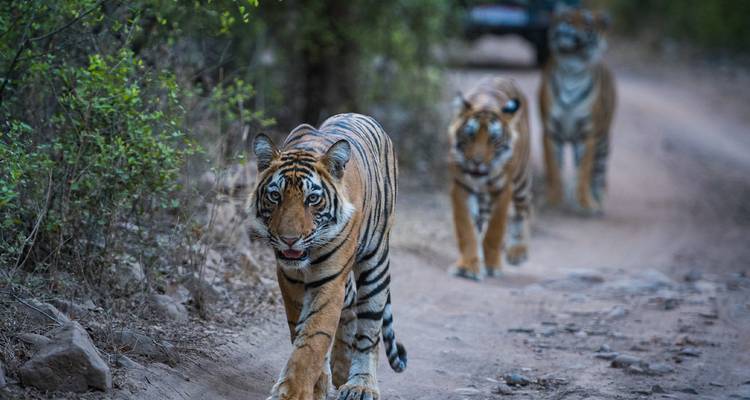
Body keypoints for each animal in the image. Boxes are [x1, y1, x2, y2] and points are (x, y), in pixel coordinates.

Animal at [248, 113, 406, 400]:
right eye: (275, 196)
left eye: (312, 199)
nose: (289, 239)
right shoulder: (290, 278)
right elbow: (301, 330)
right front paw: (318, 383)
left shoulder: (330, 280)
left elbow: (314, 338)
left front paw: (292, 393)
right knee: (351, 308)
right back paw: (342, 369)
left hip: (375, 266)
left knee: (369, 332)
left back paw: (360, 385)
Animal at [448, 77, 532, 281]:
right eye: (470, 135)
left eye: (493, 139)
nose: (477, 162)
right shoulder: (461, 186)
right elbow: (466, 228)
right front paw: (467, 267)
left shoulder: (503, 189)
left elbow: (495, 230)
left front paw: (493, 266)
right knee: (481, 222)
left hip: (521, 183)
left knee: (524, 210)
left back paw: (518, 251)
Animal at [539, 6, 616, 214]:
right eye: (566, 17)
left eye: (587, 22)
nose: (568, 26)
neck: (571, 70)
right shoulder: (551, 131)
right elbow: (554, 168)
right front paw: (552, 199)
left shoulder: (587, 133)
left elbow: (584, 171)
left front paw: (586, 203)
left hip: (603, 141)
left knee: (598, 174)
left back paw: (598, 200)